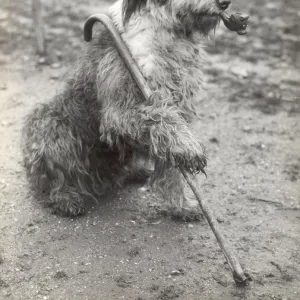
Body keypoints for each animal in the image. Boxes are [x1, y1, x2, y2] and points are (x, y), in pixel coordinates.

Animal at [21, 0, 232, 217]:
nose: (225, 3)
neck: (167, 31)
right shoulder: (119, 111)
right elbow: (161, 118)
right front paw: (191, 149)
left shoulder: (180, 109)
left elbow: (173, 164)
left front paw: (180, 206)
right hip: (51, 124)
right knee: (53, 178)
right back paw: (66, 197)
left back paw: (135, 172)